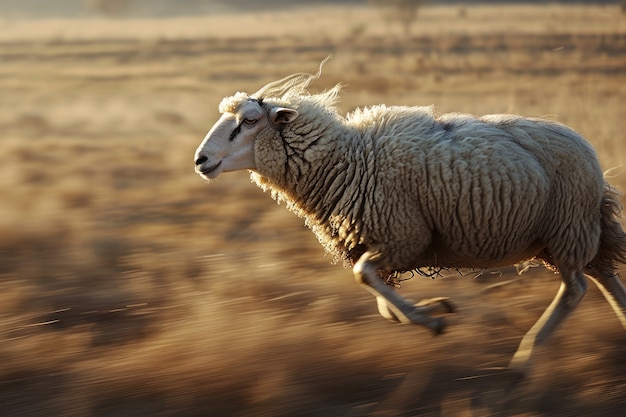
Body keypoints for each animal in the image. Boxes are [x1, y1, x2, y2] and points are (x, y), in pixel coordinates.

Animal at [194, 62, 624, 376]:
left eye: (250, 120)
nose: (200, 160)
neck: (349, 161)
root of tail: (591, 156)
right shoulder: (388, 246)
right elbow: (383, 303)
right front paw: (435, 309)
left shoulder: (402, 237)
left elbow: (363, 277)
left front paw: (430, 319)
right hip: (568, 236)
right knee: (604, 278)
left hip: (567, 230)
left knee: (575, 290)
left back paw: (524, 358)